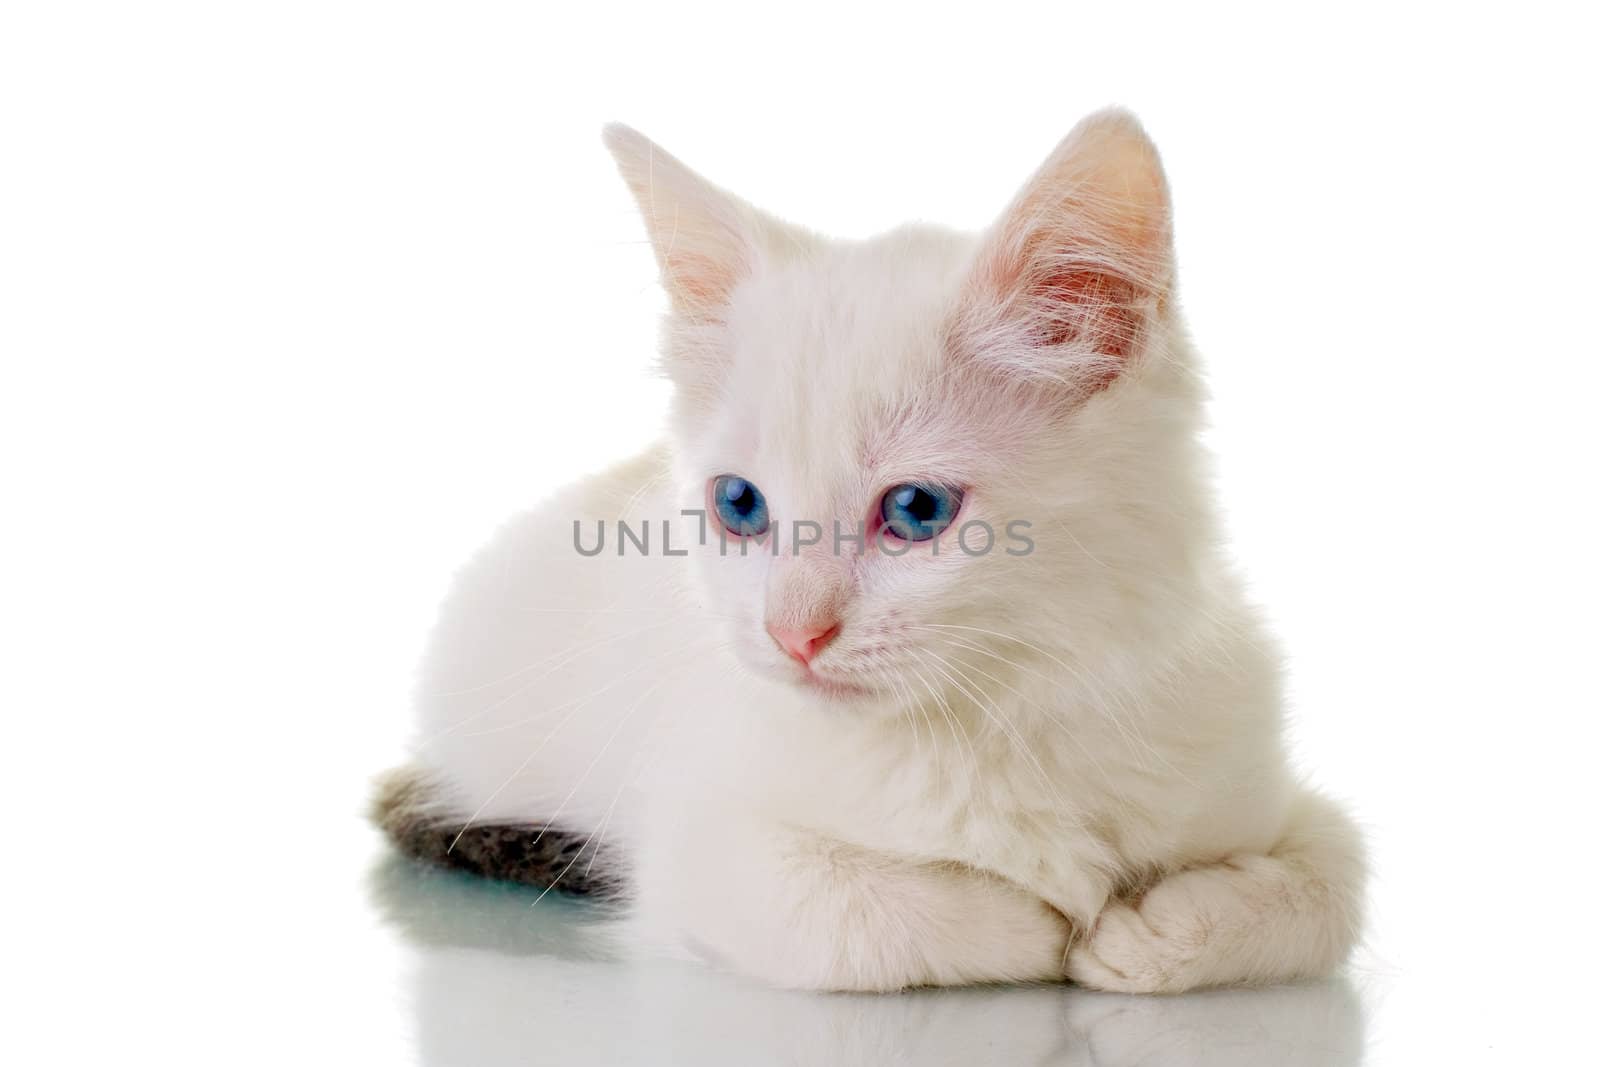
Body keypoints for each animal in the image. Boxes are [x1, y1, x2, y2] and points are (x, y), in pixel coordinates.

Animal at [374, 108, 1363, 991]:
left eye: (918, 510)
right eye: (738, 504)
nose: (792, 635)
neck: (1003, 711)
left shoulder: (1261, 775)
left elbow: (1331, 883)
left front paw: (1155, 931)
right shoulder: (695, 843)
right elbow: (856, 912)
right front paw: (1037, 919)